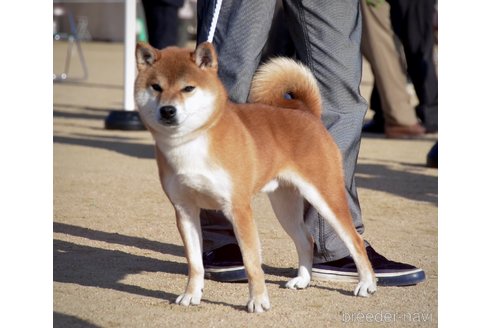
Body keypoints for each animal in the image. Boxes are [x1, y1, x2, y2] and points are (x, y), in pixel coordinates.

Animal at [133, 41, 374, 312]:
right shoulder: (184, 210)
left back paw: (366, 284)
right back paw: (302, 279)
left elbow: (251, 262)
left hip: (325, 197)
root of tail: (306, 113)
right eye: (156, 87)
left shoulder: (238, 208)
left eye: (188, 88)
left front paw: (257, 301)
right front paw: (191, 294)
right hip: (284, 206)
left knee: (354, 241)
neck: (190, 144)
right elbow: (195, 263)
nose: (167, 111)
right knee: (306, 239)